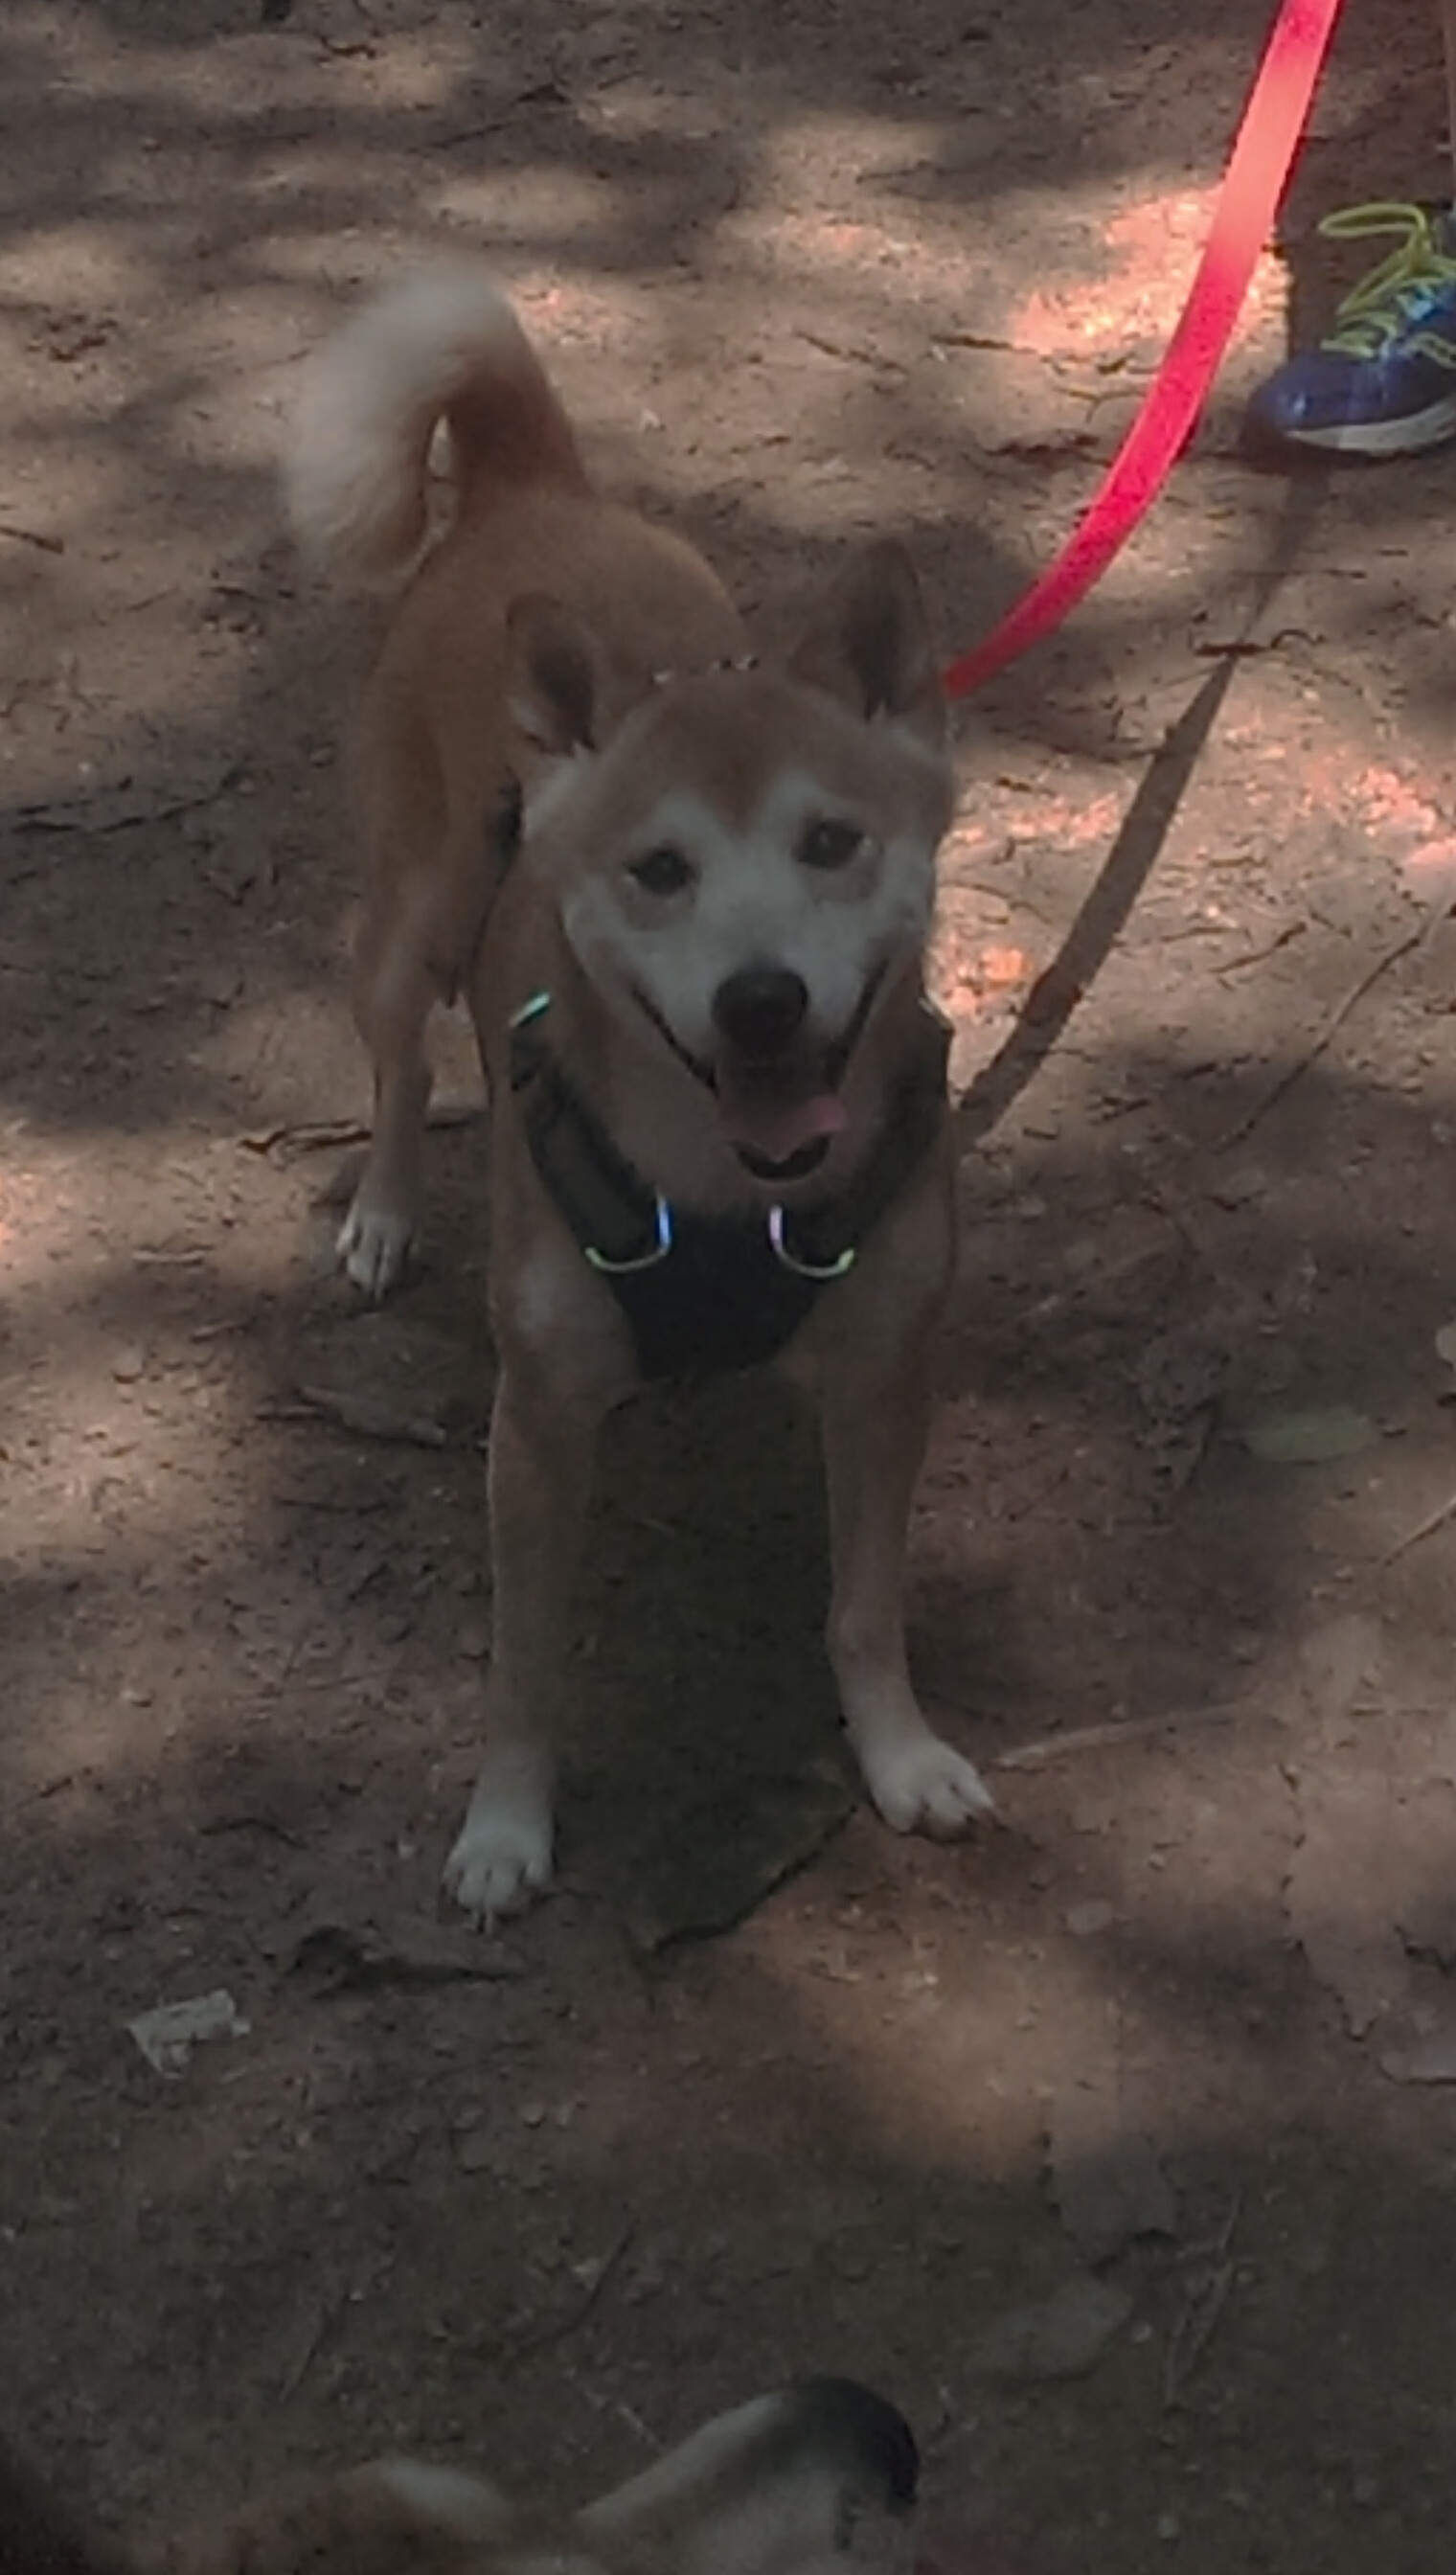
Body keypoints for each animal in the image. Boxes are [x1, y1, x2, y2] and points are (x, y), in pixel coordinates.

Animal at [283, 271, 990, 1915]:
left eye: (830, 842)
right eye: (658, 870)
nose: (761, 999)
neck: (729, 1192)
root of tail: (532, 492)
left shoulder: (885, 1377)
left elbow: (865, 1608)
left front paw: (899, 1755)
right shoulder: (536, 1426)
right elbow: (524, 1662)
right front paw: (504, 1827)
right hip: (403, 931)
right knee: (401, 1071)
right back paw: (386, 1216)